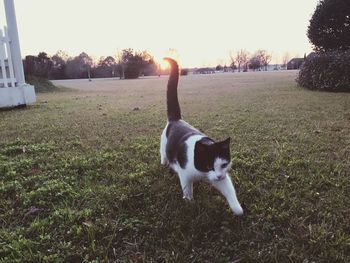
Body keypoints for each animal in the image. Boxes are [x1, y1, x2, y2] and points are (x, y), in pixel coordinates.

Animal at [161, 57, 243, 217]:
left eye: (223, 165)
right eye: (208, 166)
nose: (218, 176)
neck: (202, 173)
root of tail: (176, 119)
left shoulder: (220, 176)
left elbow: (229, 190)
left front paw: (238, 209)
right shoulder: (185, 174)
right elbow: (187, 190)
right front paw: (190, 203)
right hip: (163, 144)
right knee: (163, 154)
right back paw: (164, 162)